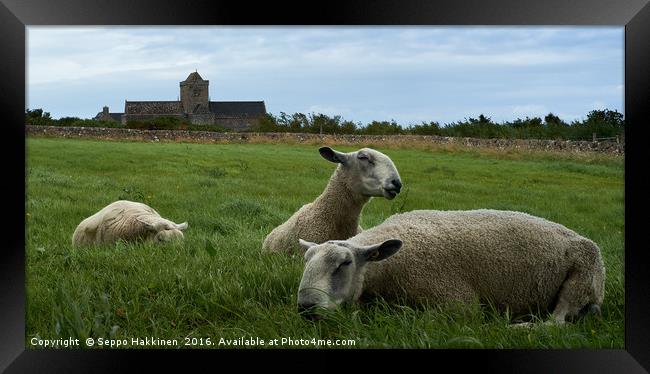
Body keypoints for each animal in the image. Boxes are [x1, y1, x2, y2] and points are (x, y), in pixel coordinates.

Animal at [296, 207, 604, 324]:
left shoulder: (458, 304)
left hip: (581, 280)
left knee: (556, 323)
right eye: (306, 260)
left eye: (345, 263)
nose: (306, 307)